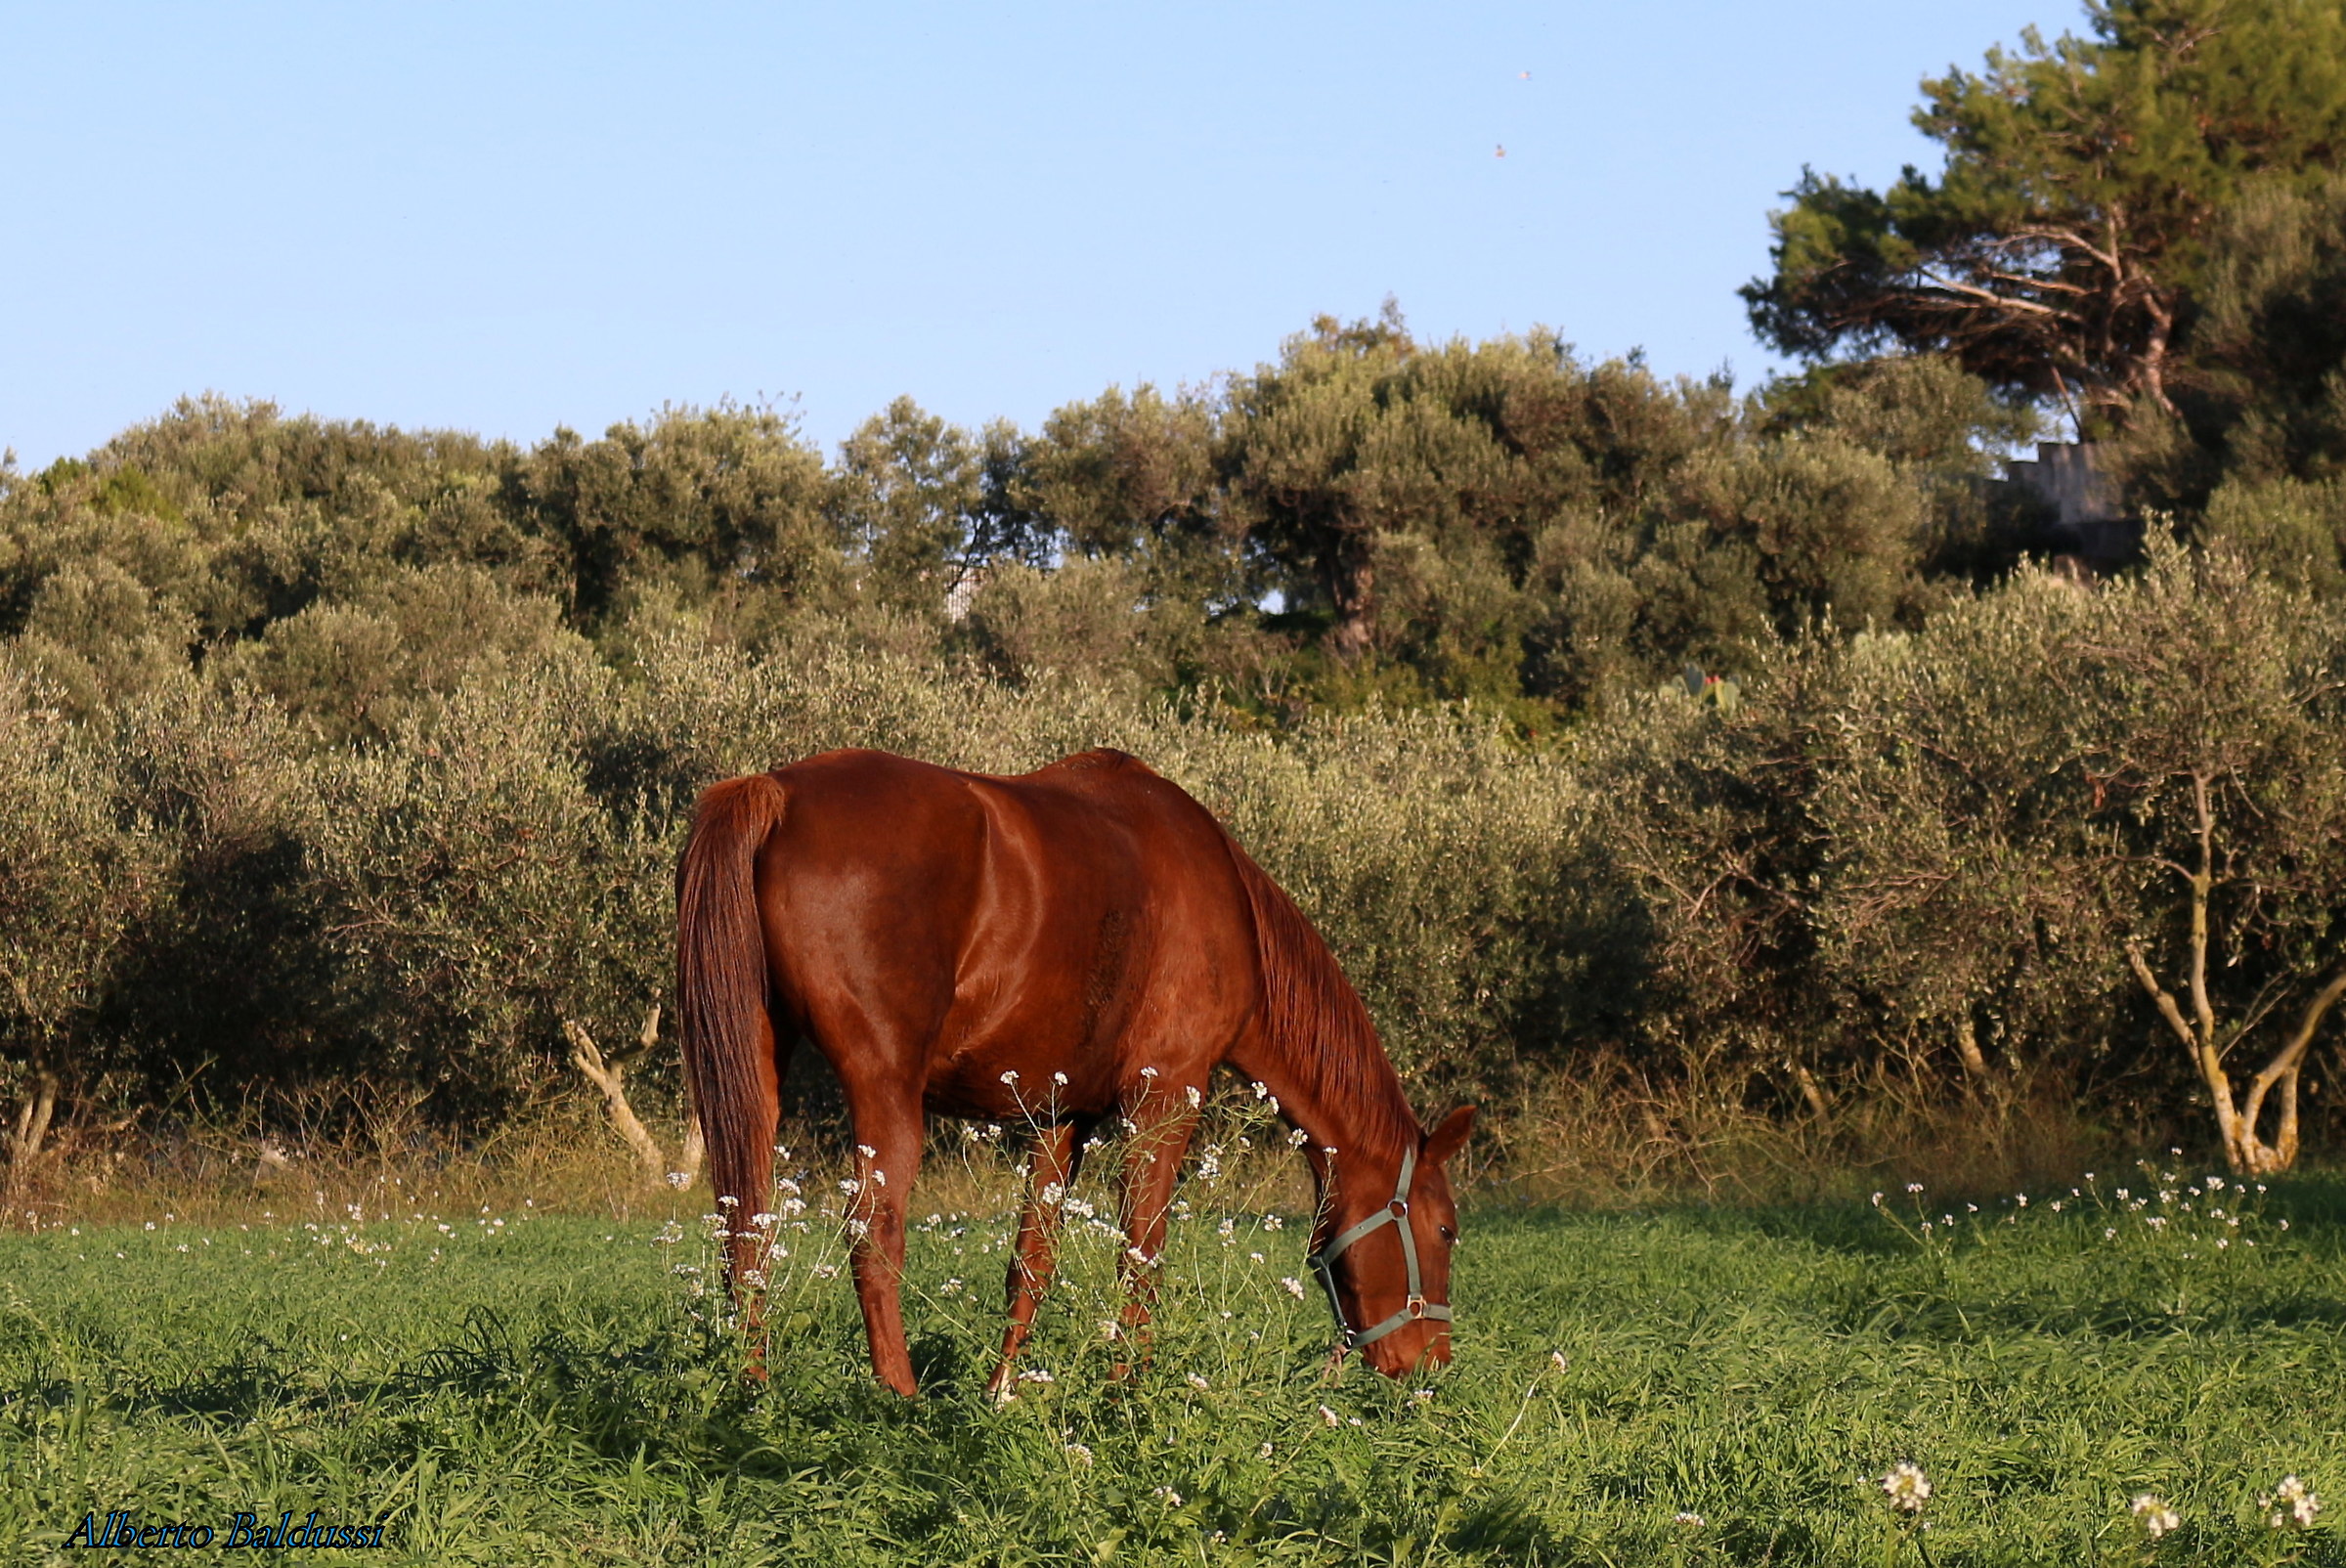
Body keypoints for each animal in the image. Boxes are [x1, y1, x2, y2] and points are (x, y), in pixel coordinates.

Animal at [676, 746, 1474, 1396]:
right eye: (1446, 1230)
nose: (1431, 1362)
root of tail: (776, 791)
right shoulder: (1164, 1098)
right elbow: (1140, 1252)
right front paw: (1129, 1392)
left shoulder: (1062, 1116)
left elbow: (1033, 1260)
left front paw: (1004, 1395)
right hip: (885, 1088)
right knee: (873, 1233)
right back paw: (898, 1397)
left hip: (756, 1074)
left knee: (746, 1228)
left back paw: (754, 1387)